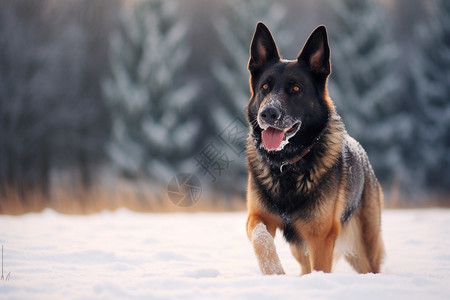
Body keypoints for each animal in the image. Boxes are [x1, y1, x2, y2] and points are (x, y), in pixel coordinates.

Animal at [244, 22, 384, 276]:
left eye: (295, 89)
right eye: (265, 87)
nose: (267, 113)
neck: (288, 165)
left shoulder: (320, 236)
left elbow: (321, 268)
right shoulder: (258, 216)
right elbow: (261, 238)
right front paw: (274, 271)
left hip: (364, 249)